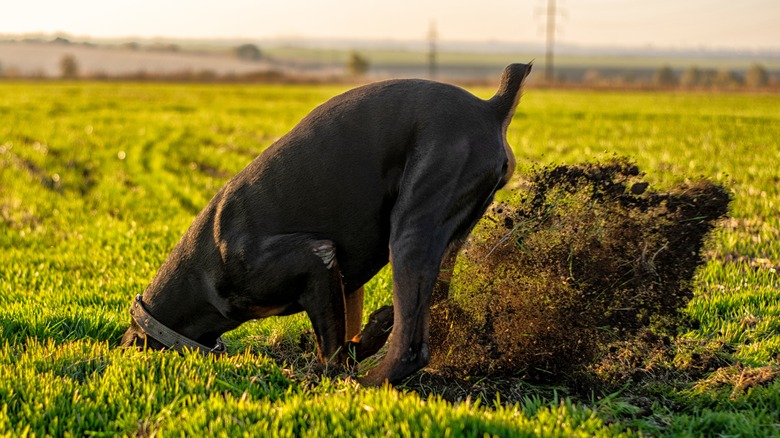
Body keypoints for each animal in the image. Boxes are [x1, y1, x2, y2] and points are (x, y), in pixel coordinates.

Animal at [122, 63, 532, 384]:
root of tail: (491, 108)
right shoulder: (344, 280)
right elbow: (344, 333)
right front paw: (359, 342)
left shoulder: (316, 257)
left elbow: (332, 351)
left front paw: (326, 376)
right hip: (448, 234)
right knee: (435, 307)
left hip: (412, 229)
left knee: (410, 347)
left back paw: (369, 383)